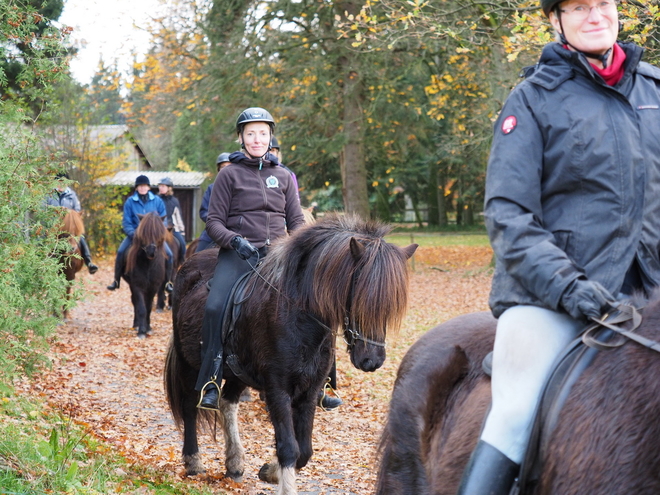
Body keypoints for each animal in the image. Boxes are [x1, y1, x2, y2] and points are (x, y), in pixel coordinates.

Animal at [123, 211, 171, 340]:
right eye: (143, 232)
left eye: (159, 232)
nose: (151, 251)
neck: (148, 264)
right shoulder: (137, 286)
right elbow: (141, 308)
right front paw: (141, 331)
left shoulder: (153, 287)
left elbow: (148, 308)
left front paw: (148, 328)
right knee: (134, 302)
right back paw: (136, 325)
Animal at [164, 215, 418, 494]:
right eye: (358, 296)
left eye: (389, 306)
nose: (372, 360)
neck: (298, 313)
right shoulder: (277, 389)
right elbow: (288, 448)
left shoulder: (309, 391)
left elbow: (303, 450)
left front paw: (269, 471)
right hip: (190, 364)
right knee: (190, 406)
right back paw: (194, 462)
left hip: (237, 372)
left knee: (227, 403)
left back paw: (234, 464)